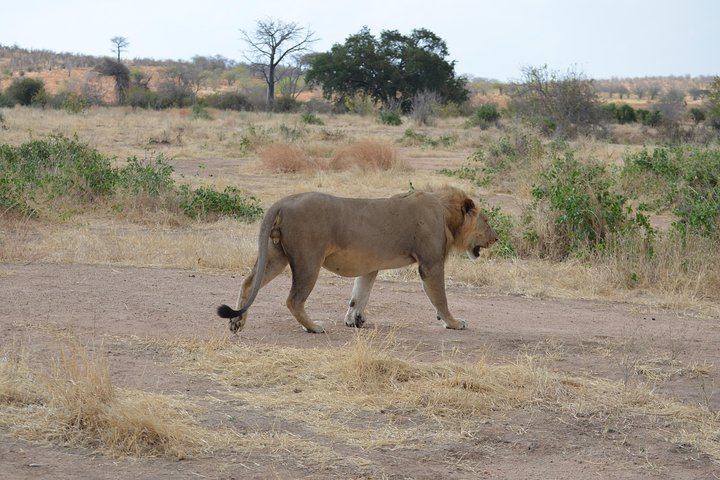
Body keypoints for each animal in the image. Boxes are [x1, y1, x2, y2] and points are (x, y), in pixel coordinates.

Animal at [217, 186, 498, 333]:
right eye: (486, 221)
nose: (496, 238)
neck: (446, 214)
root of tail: (285, 201)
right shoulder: (430, 264)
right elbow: (440, 298)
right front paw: (454, 322)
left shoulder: (370, 266)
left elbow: (359, 294)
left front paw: (354, 320)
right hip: (308, 261)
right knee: (293, 299)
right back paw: (314, 327)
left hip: (277, 256)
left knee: (248, 282)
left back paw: (237, 322)